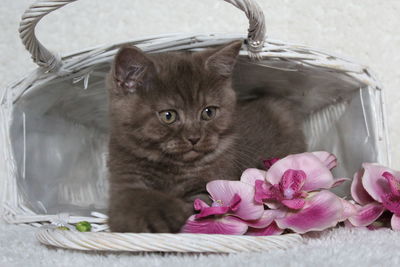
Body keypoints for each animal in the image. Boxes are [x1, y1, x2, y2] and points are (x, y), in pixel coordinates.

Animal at [106, 40, 306, 233]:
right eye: (168, 116)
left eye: (208, 112)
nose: (194, 138)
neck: (173, 167)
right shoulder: (124, 180)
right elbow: (133, 199)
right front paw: (159, 215)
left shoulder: (214, 186)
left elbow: (198, 204)